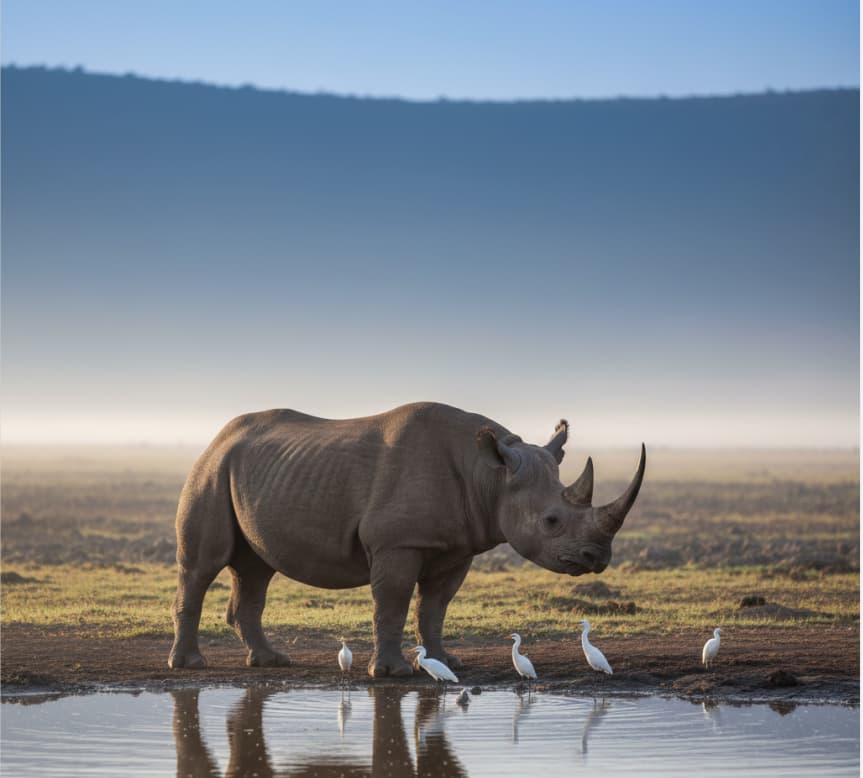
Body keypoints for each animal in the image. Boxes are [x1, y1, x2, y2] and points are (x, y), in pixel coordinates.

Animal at [168, 402, 645, 676]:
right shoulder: (397, 542)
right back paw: (189, 665)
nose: (597, 556)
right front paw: (392, 673)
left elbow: (435, 606)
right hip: (211, 469)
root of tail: (217, 437)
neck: (490, 476)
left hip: (253, 471)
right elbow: (393, 601)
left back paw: (269, 661)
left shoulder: (456, 546)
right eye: (551, 521)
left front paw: (446, 663)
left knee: (256, 569)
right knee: (202, 565)